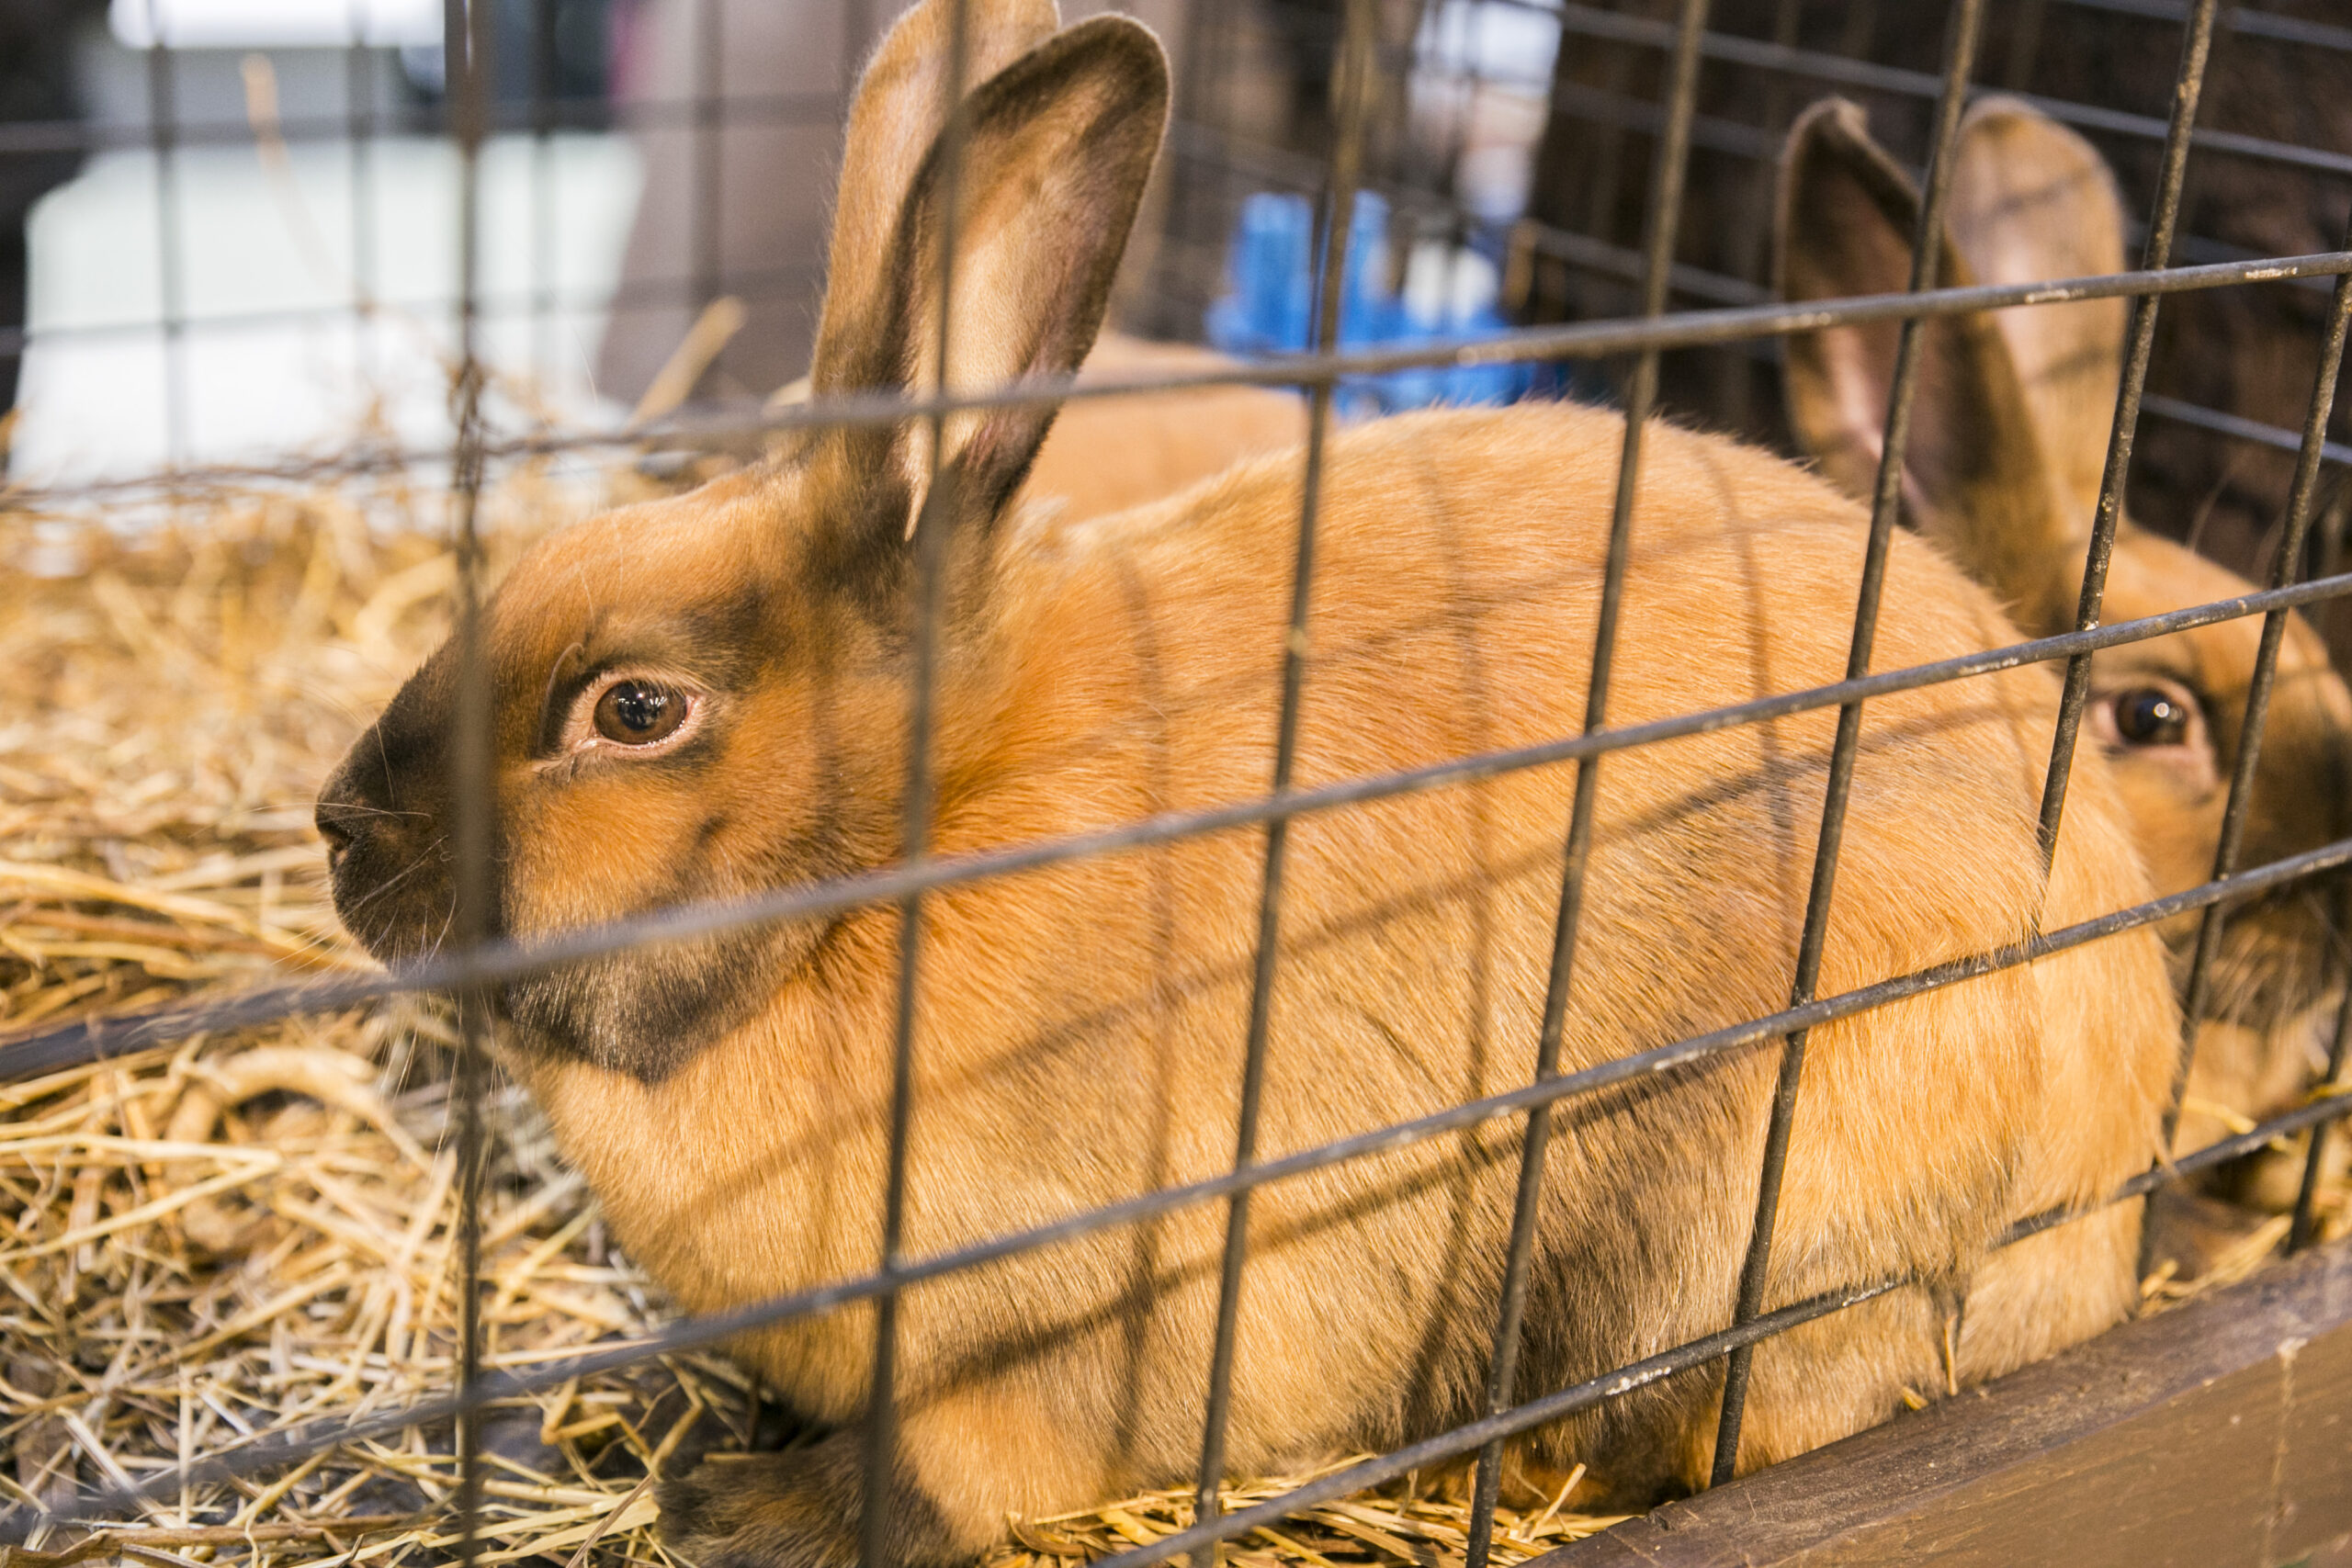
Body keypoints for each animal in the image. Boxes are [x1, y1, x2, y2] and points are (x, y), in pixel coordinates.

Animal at [314, 5, 2180, 1563]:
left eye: (635, 707)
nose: (342, 836)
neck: (899, 871)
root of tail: (2106, 1206)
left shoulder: (1090, 1333)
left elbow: (952, 1475)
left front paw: (739, 1505)